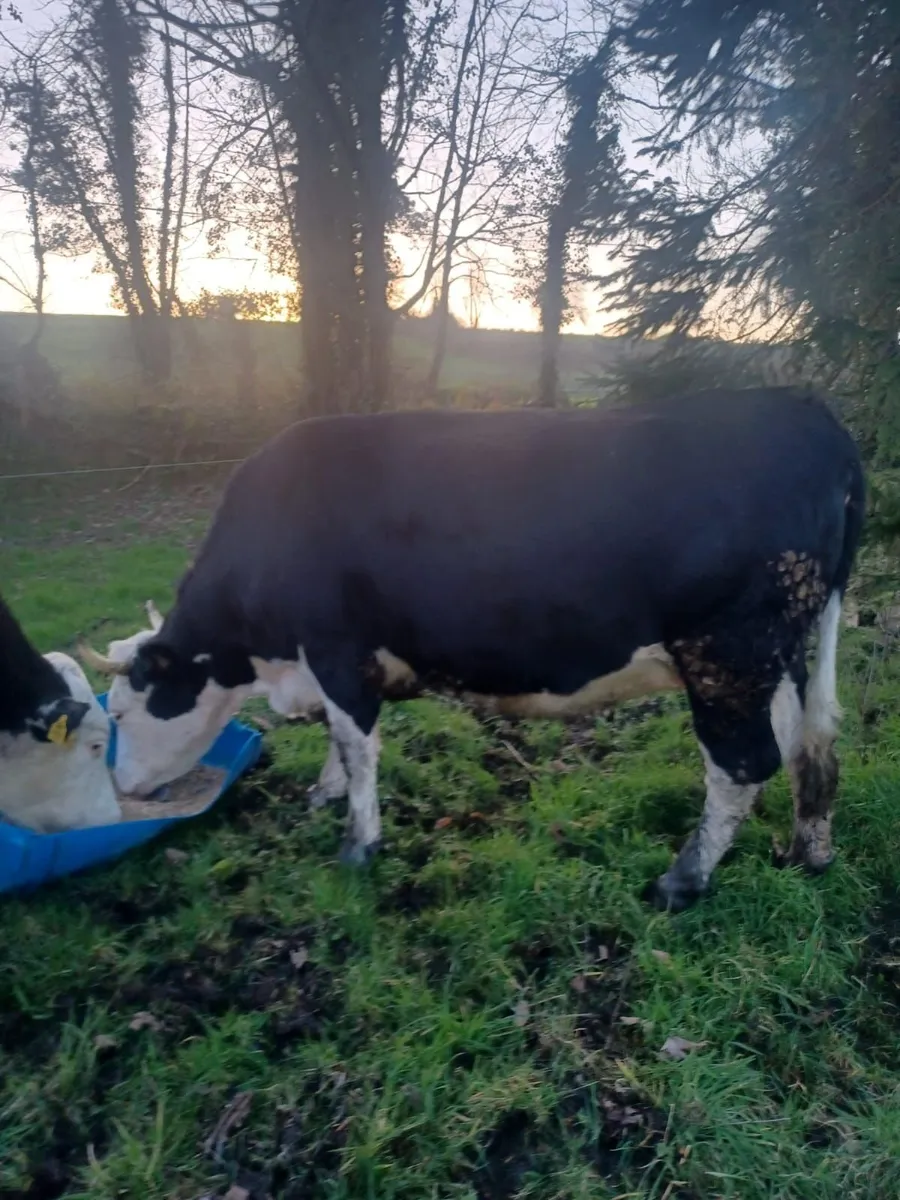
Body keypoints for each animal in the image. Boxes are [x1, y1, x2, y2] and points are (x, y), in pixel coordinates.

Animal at [79, 387, 865, 910]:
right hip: (783, 654)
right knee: (812, 744)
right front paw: (323, 795)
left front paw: (358, 845)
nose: (125, 791)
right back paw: (810, 854)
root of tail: (804, 411)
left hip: (726, 656)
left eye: (118, 715)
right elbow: (337, 738)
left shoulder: (336, 649)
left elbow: (357, 747)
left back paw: (684, 878)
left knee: (745, 765)